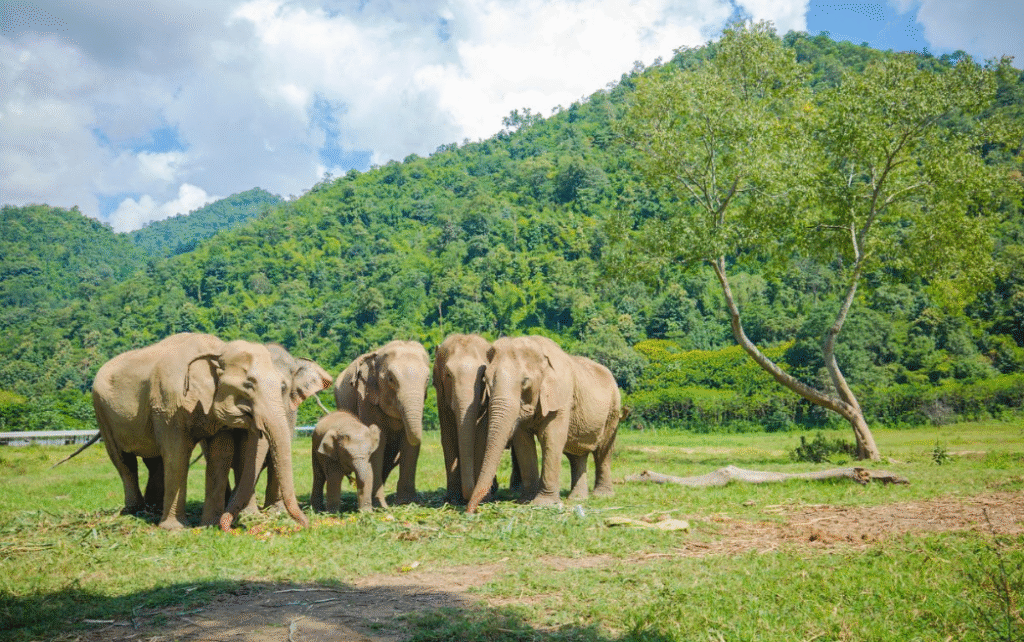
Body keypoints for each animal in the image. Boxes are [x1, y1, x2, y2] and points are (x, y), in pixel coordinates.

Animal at [91, 333, 308, 530]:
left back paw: (153, 510)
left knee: (154, 461)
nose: (306, 524)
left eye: (282, 387)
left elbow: (220, 456)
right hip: (102, 412)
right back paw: (134, 512)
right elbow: (177, 455)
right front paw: (175, 529)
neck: (217, 350)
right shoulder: (168, 405)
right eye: (248, 384)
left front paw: (210, 526)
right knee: (123, 460)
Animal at [200, 344, 333, 525]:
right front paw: (249, 515)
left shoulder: (289, 414)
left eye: (283, 388)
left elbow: (276, 453)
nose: (307, 524)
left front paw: (276, 511)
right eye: (247, 387)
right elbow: (245, 454)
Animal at [333, 340, 430, 508]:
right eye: (391, 379)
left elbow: (409, 444)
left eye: (428, 380)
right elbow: (378, 442)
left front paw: (406, 503)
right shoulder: (366, 398)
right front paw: (379, 505)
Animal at [466, 335, 622, 513]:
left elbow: (551, 438)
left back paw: (601, 496)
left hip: (613, 410)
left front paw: (543, 504)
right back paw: (578, 498)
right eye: (486, 380)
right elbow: (523, 443)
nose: (470, 511)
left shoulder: (561, 397)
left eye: (525, 382)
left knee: (603, 450)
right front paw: (525, 501)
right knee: (577, 455)